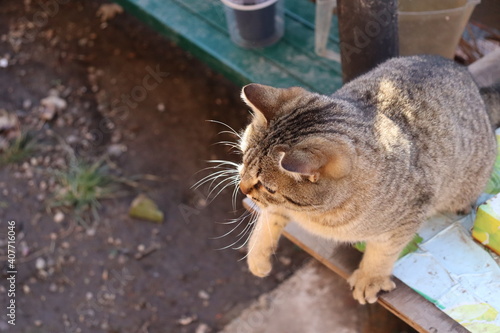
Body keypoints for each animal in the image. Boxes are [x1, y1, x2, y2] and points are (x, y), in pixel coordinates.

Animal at [236, 55, 498, 304]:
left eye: (267, 187)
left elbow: (382, 253)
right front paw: (258, 256)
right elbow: (269, 219)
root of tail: (470, 81)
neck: (316, 214)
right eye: (243, 160)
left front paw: (370, 278)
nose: (243, 189)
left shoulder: (406, 219)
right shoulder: (278, 208)